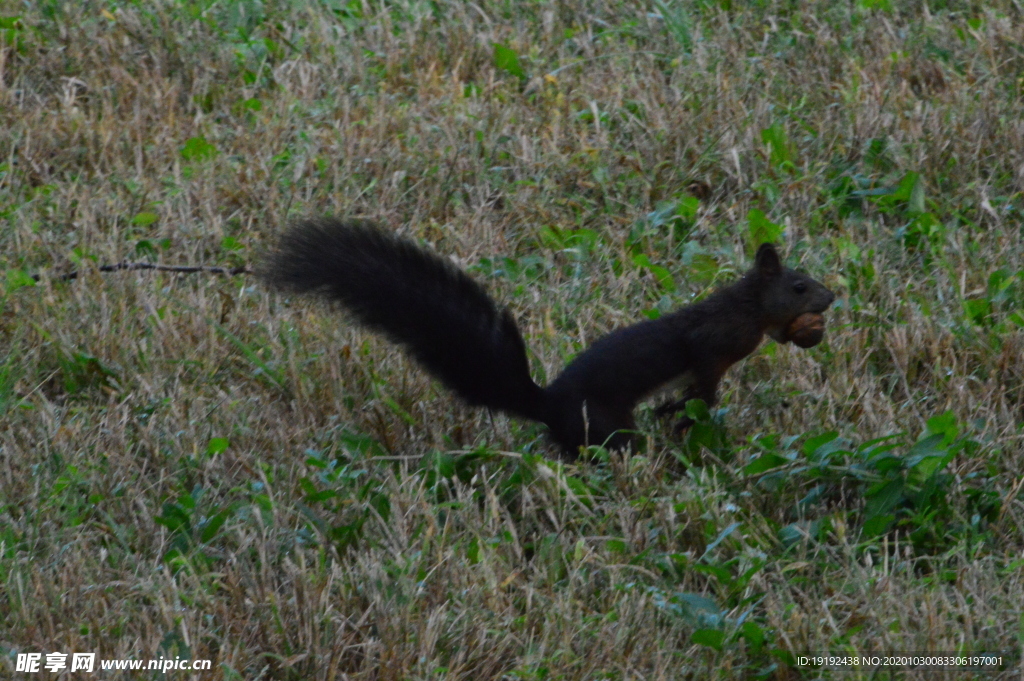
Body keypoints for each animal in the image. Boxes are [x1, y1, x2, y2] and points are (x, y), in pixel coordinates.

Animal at [262, 218, 831, 458]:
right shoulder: (713, 346)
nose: (830, 299)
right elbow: (704, 387)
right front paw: (683, 413)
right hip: (603, 425)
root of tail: (547, 404)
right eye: (799, 286)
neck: (749, 307)